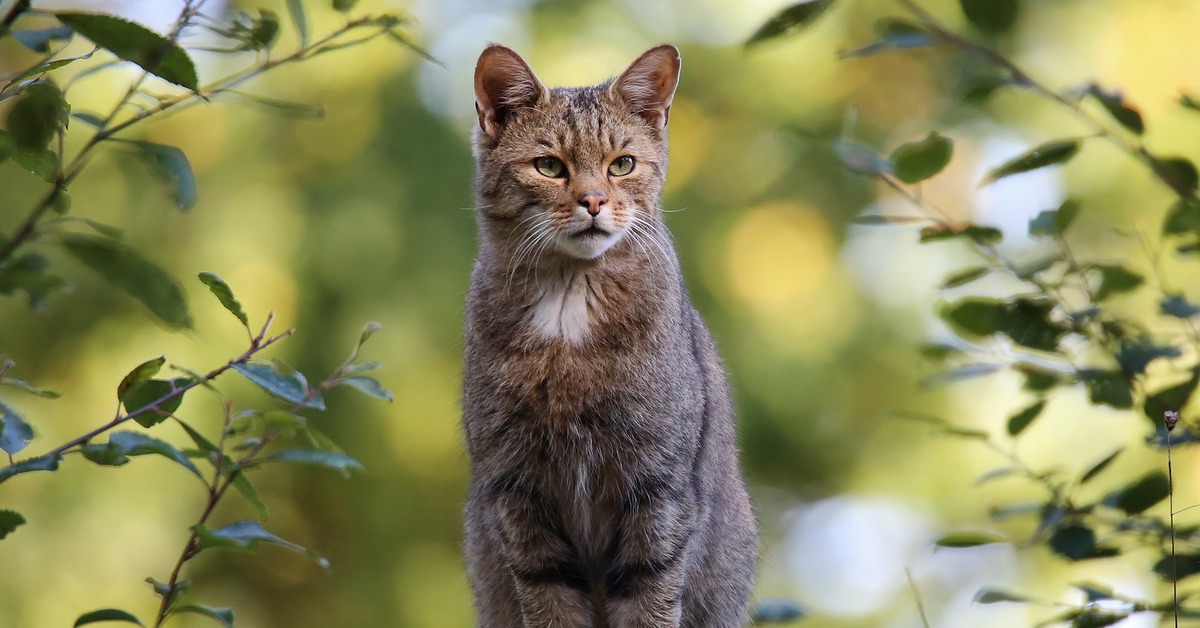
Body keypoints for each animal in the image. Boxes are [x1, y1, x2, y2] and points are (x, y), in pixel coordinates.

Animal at [460, 41, 758, 624]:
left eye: (622, 165)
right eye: (549, 166)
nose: (594, 201)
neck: (569, 302)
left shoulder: (659, 493)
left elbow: (651, 603)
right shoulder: (518, 496)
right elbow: (549, 606)